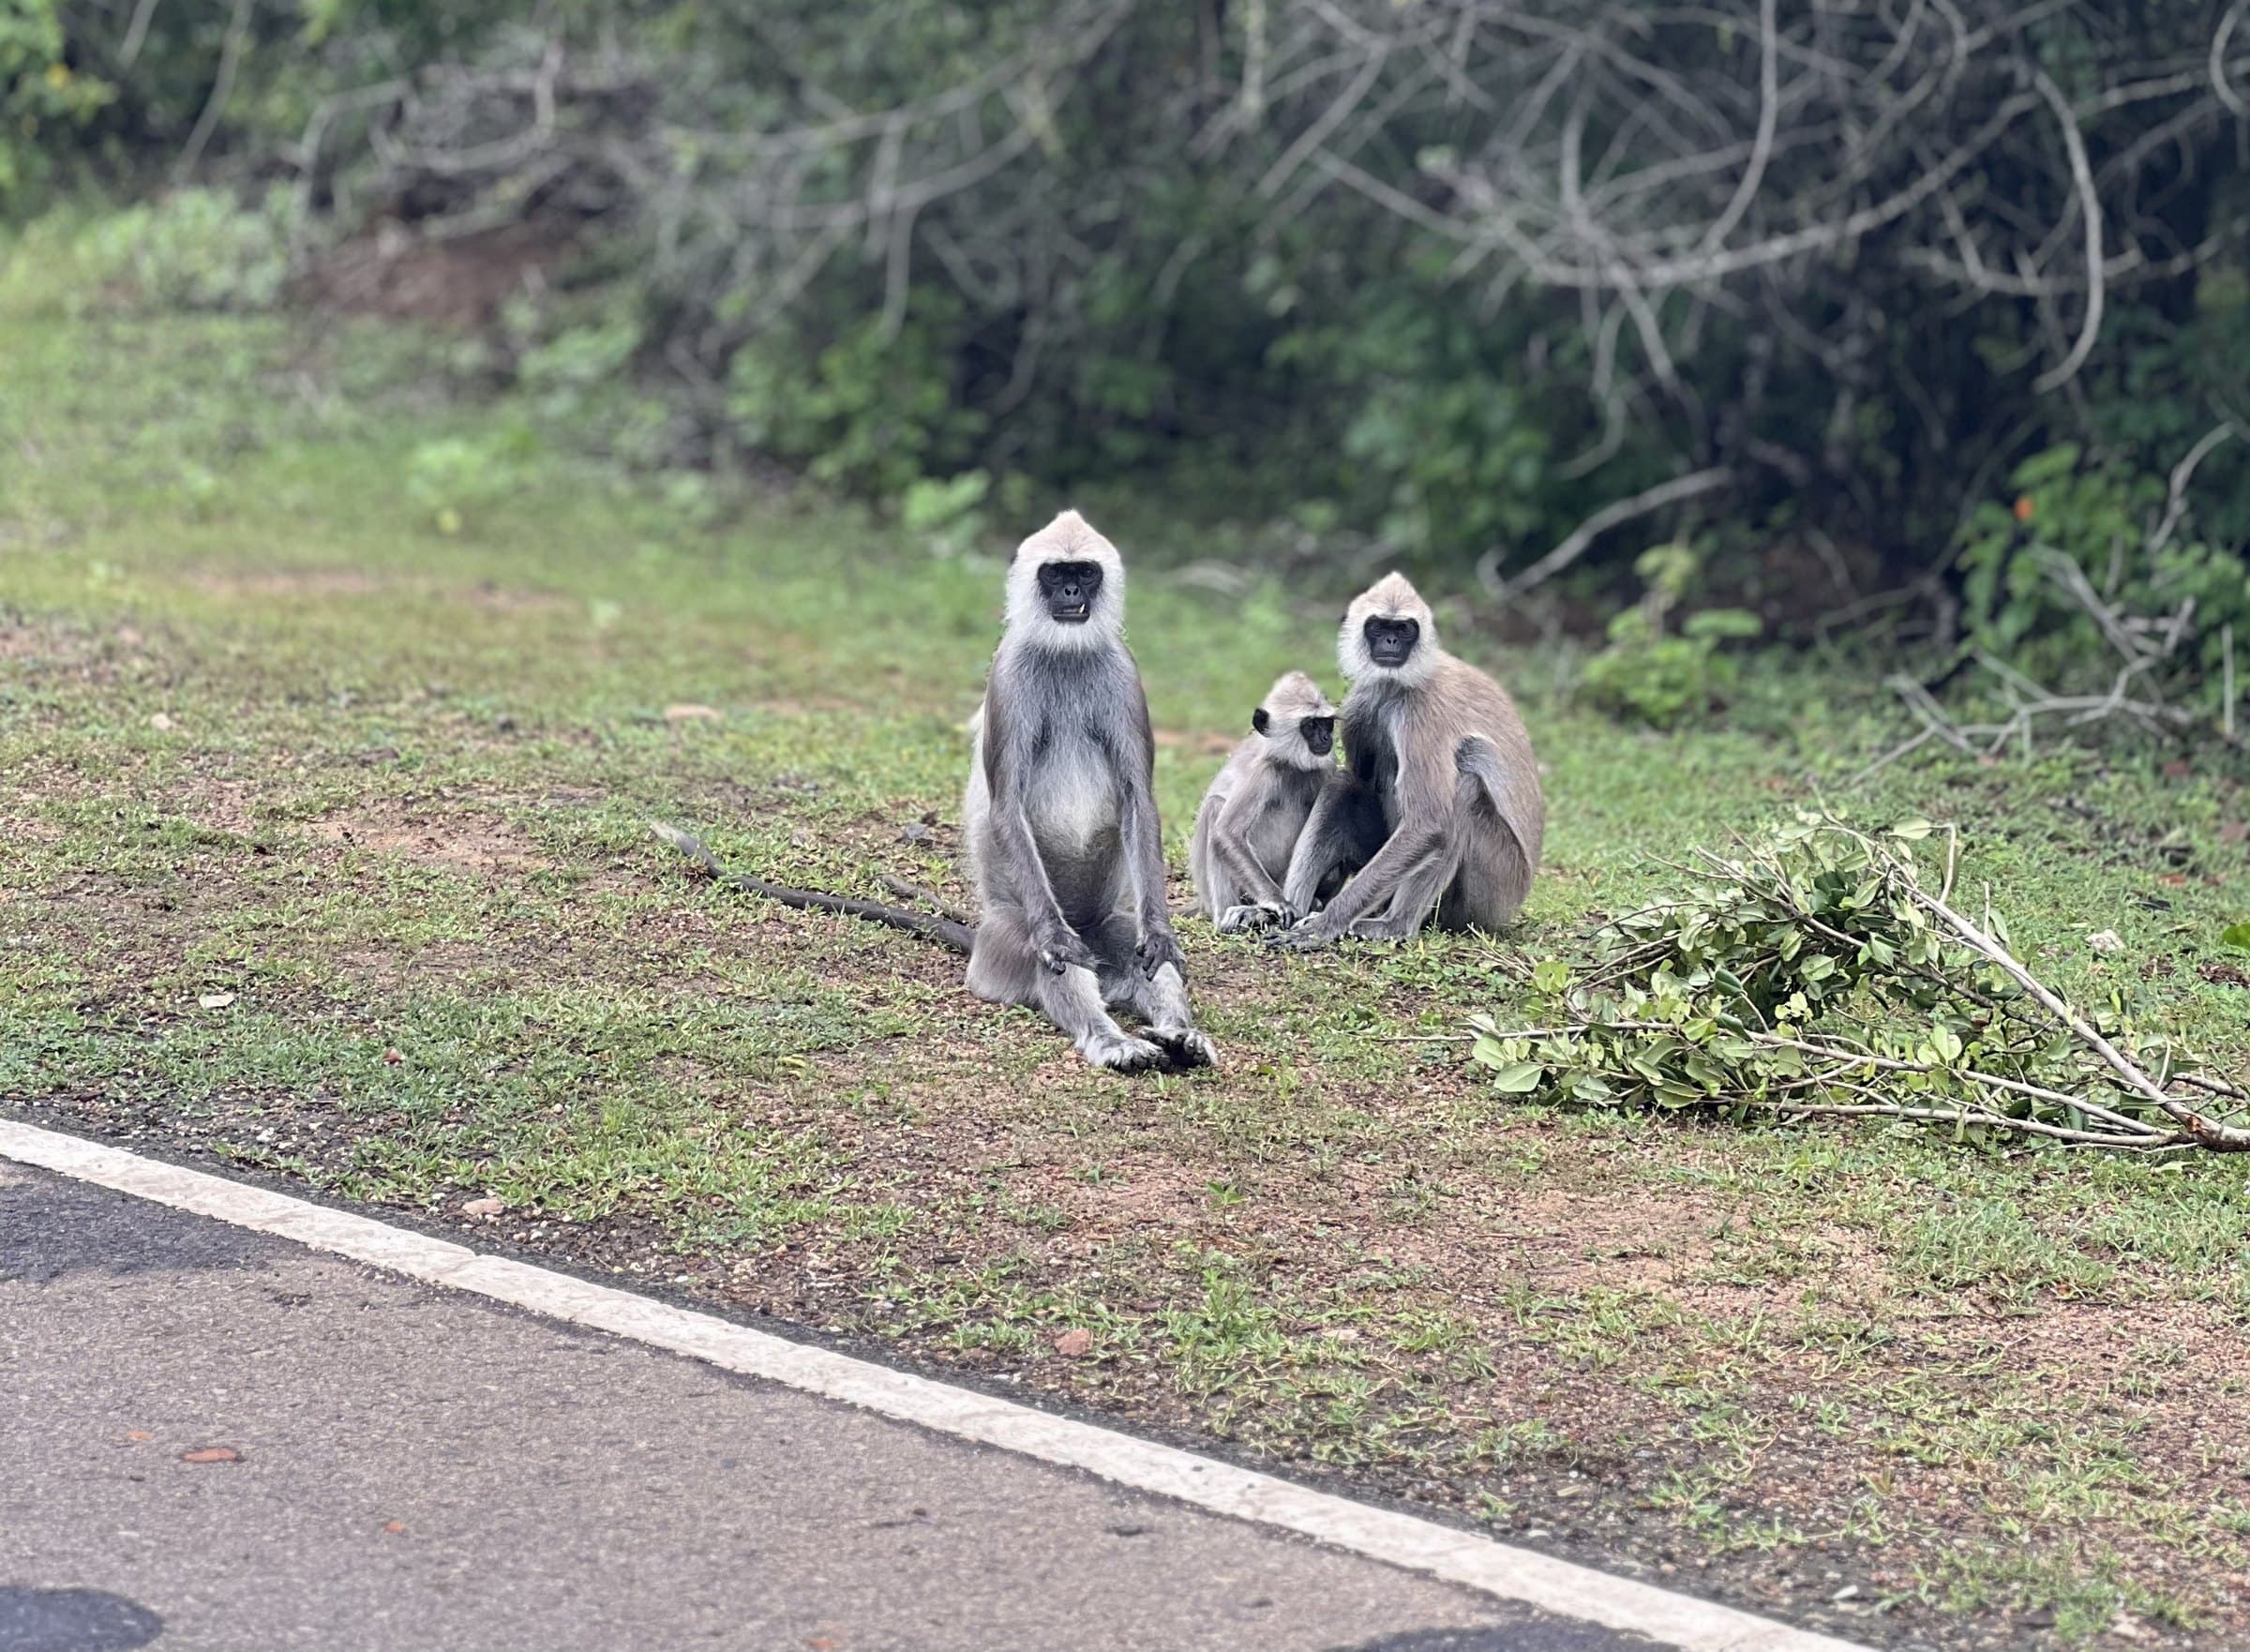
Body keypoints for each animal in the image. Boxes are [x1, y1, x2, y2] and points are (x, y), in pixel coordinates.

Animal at [959, 510, 1217, 1073]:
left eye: (1085, 573)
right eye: (1056, 574)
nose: (1072, 590)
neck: (1066, 654)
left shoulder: (1123, 670)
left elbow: (1139, 797)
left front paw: (1161, 934)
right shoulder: (1008, 673)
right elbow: (1006, 805)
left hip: (1103, 926)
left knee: (1146, 958)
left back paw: (1178, 1035)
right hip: (1008, 936)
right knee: (1056, 961)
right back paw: (1112, 1040)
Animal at [1188, 671, 1340, 932]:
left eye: (1326, 723)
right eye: (1311, 725)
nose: (1325, 737)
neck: (1291, 764)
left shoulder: (1327, 767)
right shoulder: (1264, 770)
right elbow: (1226, 833)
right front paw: (1279, 902)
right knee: (1215, 807)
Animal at [1275, 572, 1543, 947]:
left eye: (1403, 630)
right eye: (1378, 627)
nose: (1390, 641)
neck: (1396, 686)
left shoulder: (1423, 709)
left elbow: (1430, 823)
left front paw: (1326, 924)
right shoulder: (1363, 698)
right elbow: (1359, 778)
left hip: (1496, 889)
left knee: (1465, 790)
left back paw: (1395, 924)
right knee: (1343, 785)